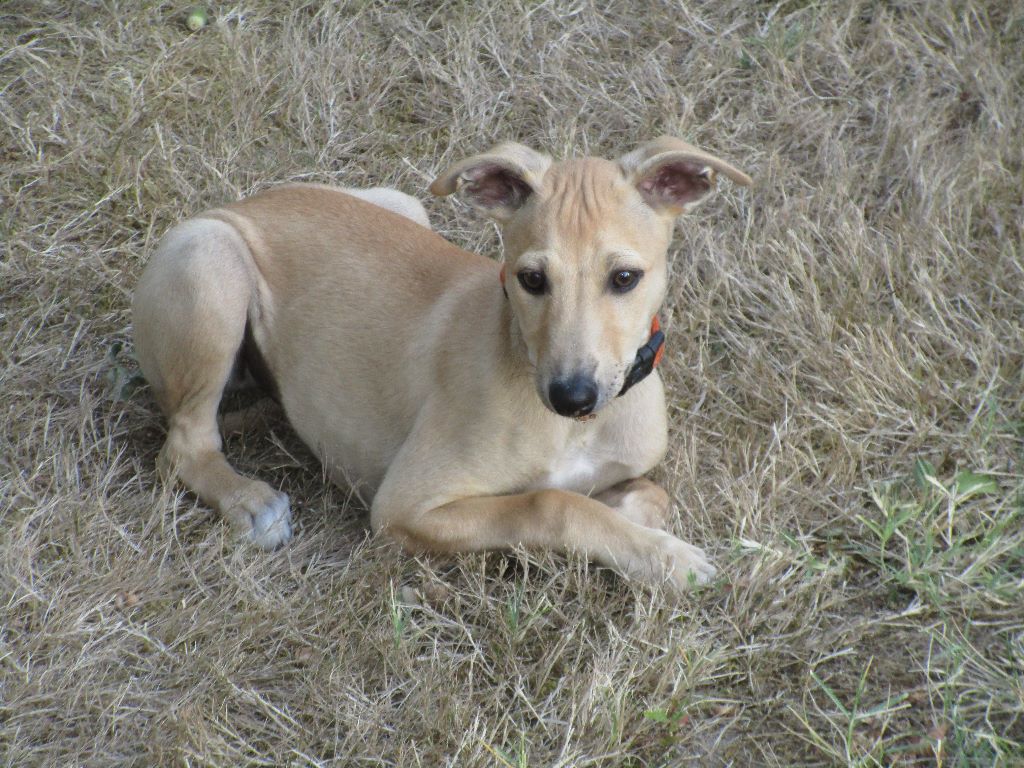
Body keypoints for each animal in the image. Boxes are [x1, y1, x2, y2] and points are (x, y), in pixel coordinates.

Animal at [132, 136, 751, 592]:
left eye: (625, 278)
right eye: (531, 279)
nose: (571, 396)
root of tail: (242, 206)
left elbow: (645, 494)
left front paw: (630, 517)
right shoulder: (405, 506)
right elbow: (549, 503)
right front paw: (664, 558)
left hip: (402, 203)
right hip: (211, 261)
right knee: (185, 445)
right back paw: (247, 500)